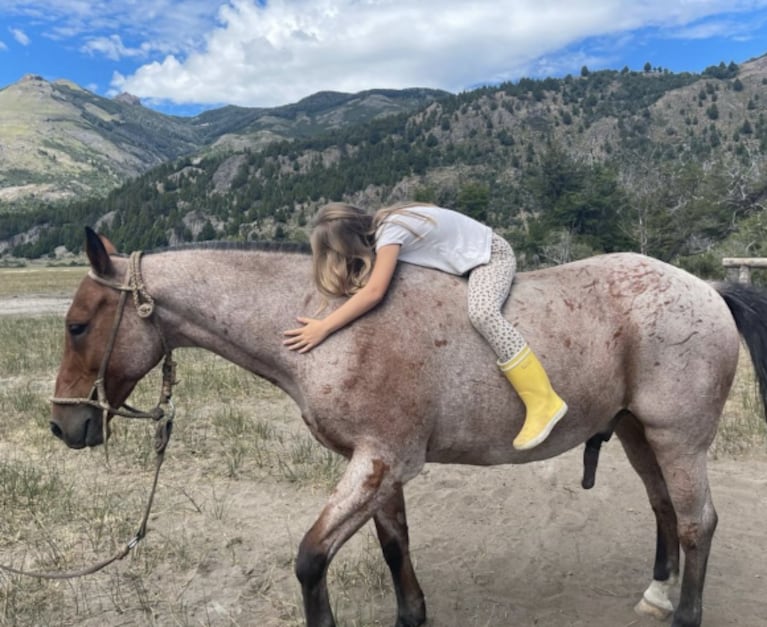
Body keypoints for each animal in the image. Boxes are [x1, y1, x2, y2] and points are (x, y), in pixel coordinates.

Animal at [49, 229, 767, 627]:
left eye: (78, 324)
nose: (64, 424)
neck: (333, 322)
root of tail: (706, 288)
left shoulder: (378, 462)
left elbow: (310, 560)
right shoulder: (380, 467)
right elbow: (395, 549)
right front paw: (410, 613)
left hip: (677, 438)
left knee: (697, 522)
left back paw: (684, 614)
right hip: (637, 433)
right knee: (664, 509)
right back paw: (656, 593)